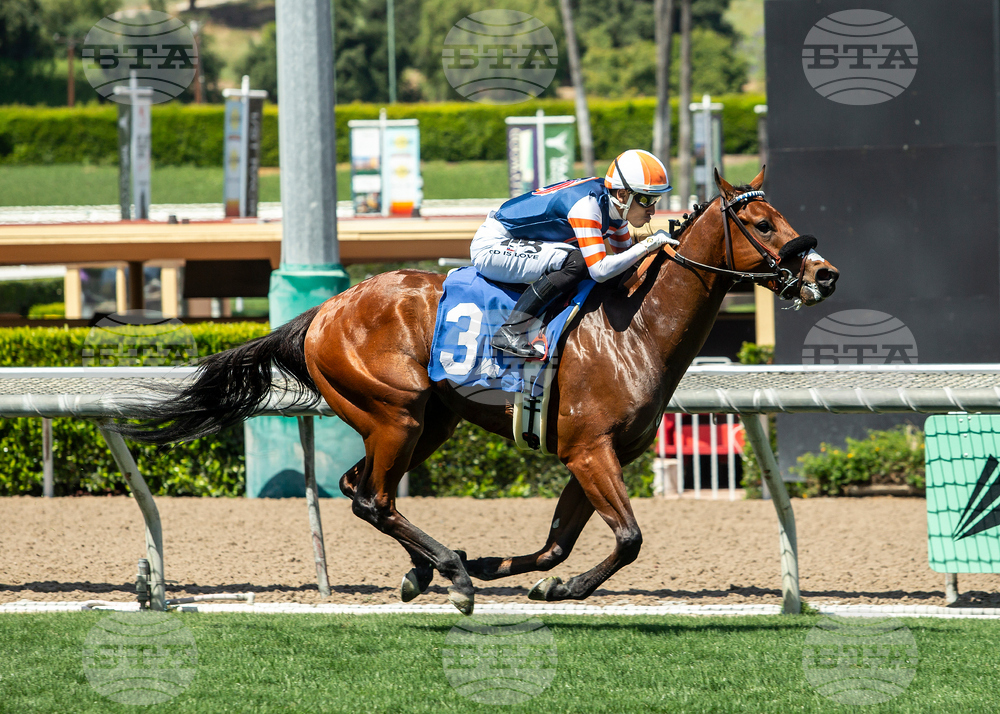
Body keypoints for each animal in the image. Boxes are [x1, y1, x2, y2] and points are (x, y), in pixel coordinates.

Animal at [115, 168, 839, 615]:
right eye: (764, 225)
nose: (824, 273)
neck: (633, 327)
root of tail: (323, 311)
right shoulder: (588, 450)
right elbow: (629, 537)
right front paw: (533, 581)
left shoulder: (595, 455)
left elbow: (559, 543)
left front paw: (531, 578)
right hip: (397, 415)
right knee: (375, 498)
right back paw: (449, 573)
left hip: (426, 423)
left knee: (356, 488)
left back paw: (427, 569)